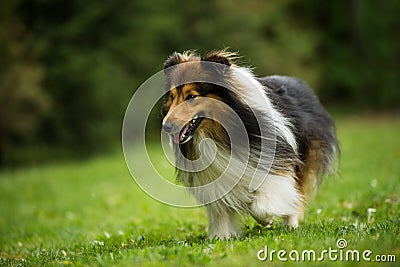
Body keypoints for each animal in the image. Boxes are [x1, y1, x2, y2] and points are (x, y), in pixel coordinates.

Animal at [161, 50, 340, 241]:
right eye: (172, 97)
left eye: (191, 96)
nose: (166, 126)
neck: (218, 135)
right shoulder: (215, 179)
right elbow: (221, 212)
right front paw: (221, 237)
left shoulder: (275, 164)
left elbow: (261, 205)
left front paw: (266, 218)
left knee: (296, 193)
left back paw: (290, 224)